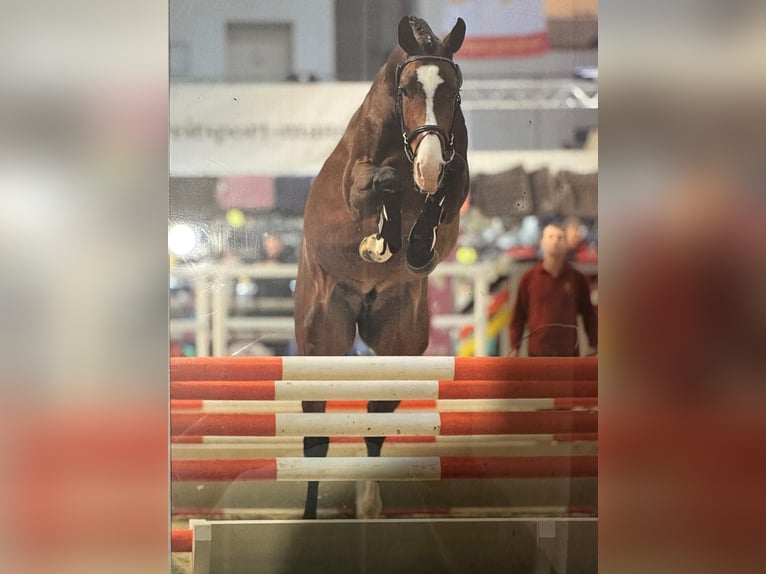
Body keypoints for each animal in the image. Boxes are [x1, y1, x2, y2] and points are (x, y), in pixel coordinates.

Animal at [294, 16, 469, 519]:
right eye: (407, 89)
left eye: (454, 90)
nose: (428, 165)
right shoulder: (358, 181)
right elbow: (383, 181)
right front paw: (382, 239)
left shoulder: (456, 175)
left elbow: (447, 186)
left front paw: (418, 244)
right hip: (321, 337)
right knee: (316, 432)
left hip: (400, 341)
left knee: (375, 419)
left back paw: (370, 505)